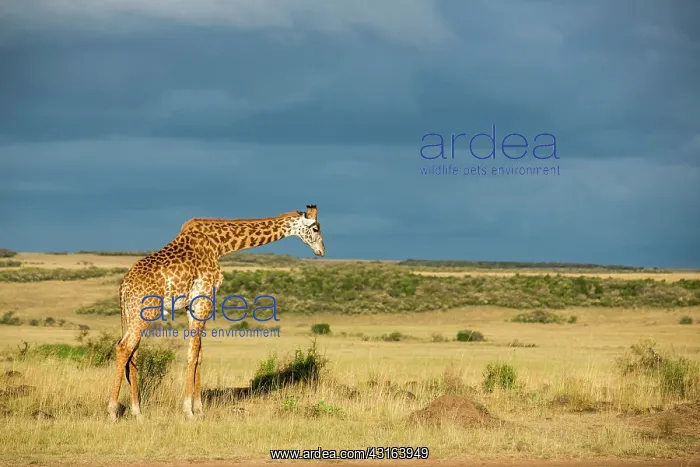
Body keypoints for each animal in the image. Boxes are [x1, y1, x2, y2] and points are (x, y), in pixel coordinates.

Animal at [107, 205, 325, 421]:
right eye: (315, 228)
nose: (322, 251)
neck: (220, 244)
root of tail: (124, 286)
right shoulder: (204, 299)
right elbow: (193, 353)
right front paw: (188, 411)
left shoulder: (191, 306)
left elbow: (199, 355)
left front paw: (199, 409)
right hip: (146, 311)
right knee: (124, 347)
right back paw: (112, 411)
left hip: (131, 313)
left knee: (133, 353)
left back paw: (137, 412)